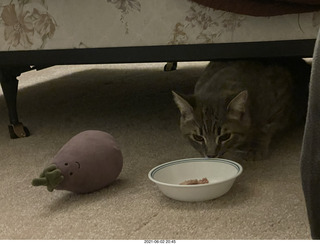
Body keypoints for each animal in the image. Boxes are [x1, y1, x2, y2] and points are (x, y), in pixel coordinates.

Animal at [172, 58, 310, 161]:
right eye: (198, 138)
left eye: (225, 137)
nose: (211, 155)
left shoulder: (279, 101)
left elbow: (265, 128)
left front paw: (255, 147)